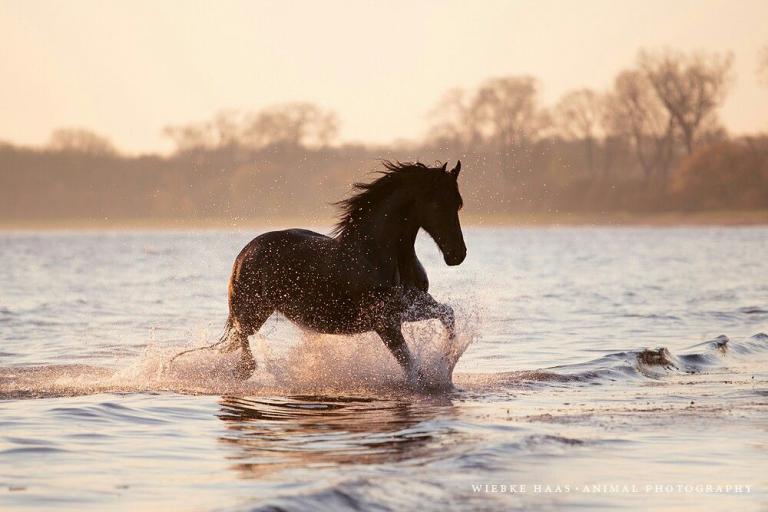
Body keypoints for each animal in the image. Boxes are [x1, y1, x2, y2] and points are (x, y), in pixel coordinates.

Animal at [213, 160, 466, 386]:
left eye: (458, 204)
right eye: (437, 204)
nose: (457, 254)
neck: (379, 254)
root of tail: (245, 252)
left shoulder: (410, 307)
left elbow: (447, 314)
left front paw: (446, 360)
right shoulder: (385, 323)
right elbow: (411, 368)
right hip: (253, 312)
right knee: (244, 345)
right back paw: (242, 370)